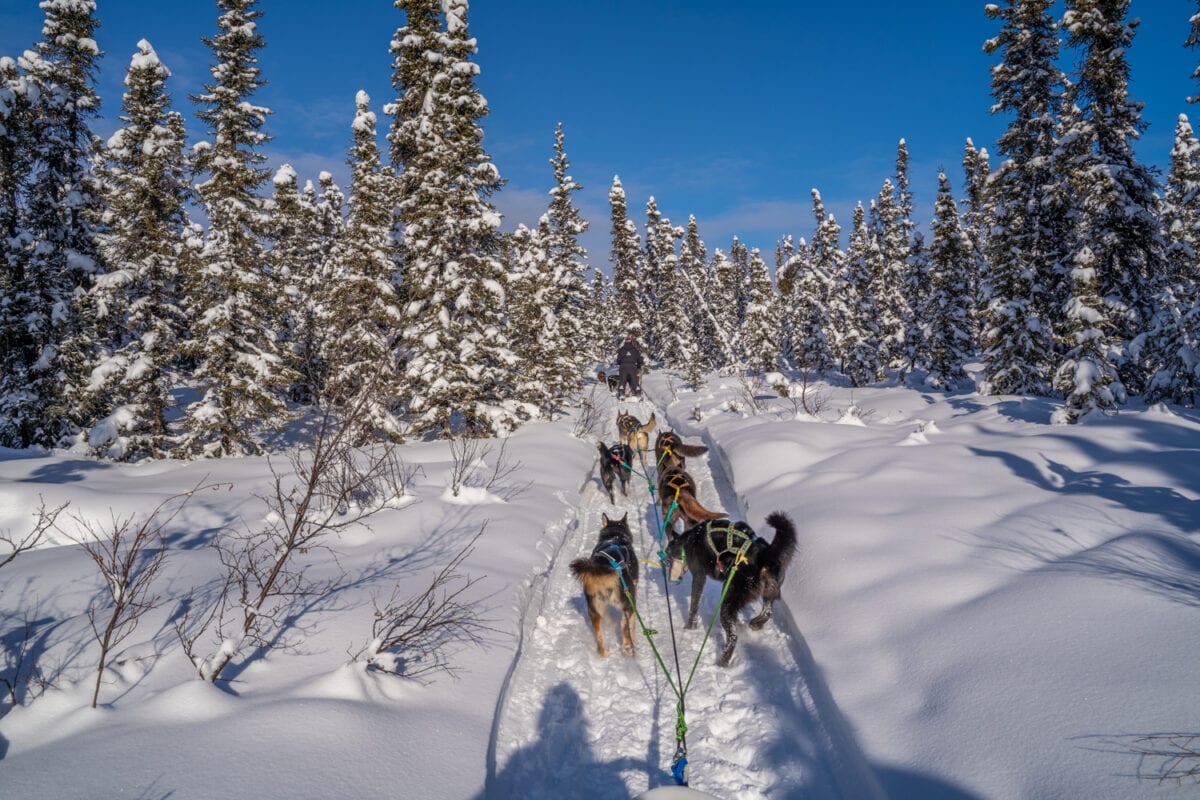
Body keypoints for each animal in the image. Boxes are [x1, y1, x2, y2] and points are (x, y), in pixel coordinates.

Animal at [568, 513, 643, 657]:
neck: (614, 536)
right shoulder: (634, 592)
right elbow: (632, 624)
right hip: (627, 601)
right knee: (624, 625)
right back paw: (628, 647)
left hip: (593, 610)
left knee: (599, 636)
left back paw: (603, 653)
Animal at [667, 513, 796, 671]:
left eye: (668, 558)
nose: (668, 575)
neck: (689, 540)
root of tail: (765, 555)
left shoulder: (699, 576)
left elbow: (693, 606)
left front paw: (689, 627)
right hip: (767, 593)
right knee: (767, 612)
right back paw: (755, 623)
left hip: (727, 601)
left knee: (733, 638)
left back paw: (723, 661)